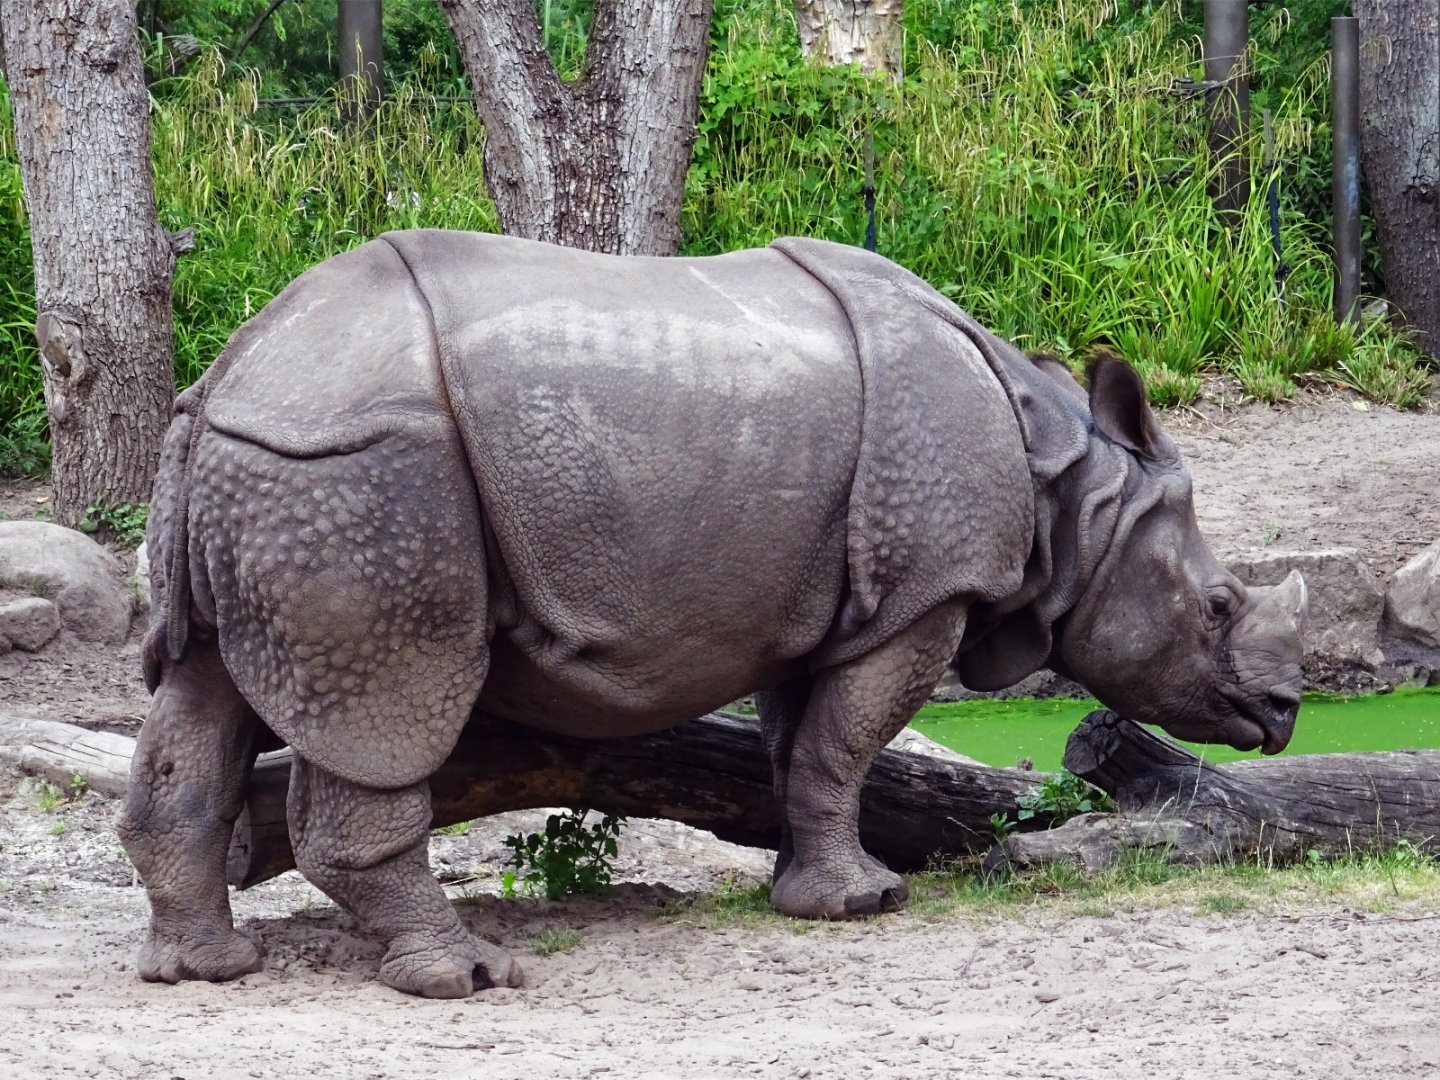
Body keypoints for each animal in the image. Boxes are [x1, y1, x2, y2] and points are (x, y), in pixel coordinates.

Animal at [119, 232, 1307, 998]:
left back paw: (203, 971)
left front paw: (809, 889)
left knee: (203, 689)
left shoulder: (828, 597)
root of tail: (230, 375)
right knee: (387, 708)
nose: (1286, 712)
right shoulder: (921, 595)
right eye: (1218, 605)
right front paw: (870, 906)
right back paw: (467, 975)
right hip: (361, 472)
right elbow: (846, 741)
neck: (1076, 492)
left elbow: (806, 748)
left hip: (270, 469)